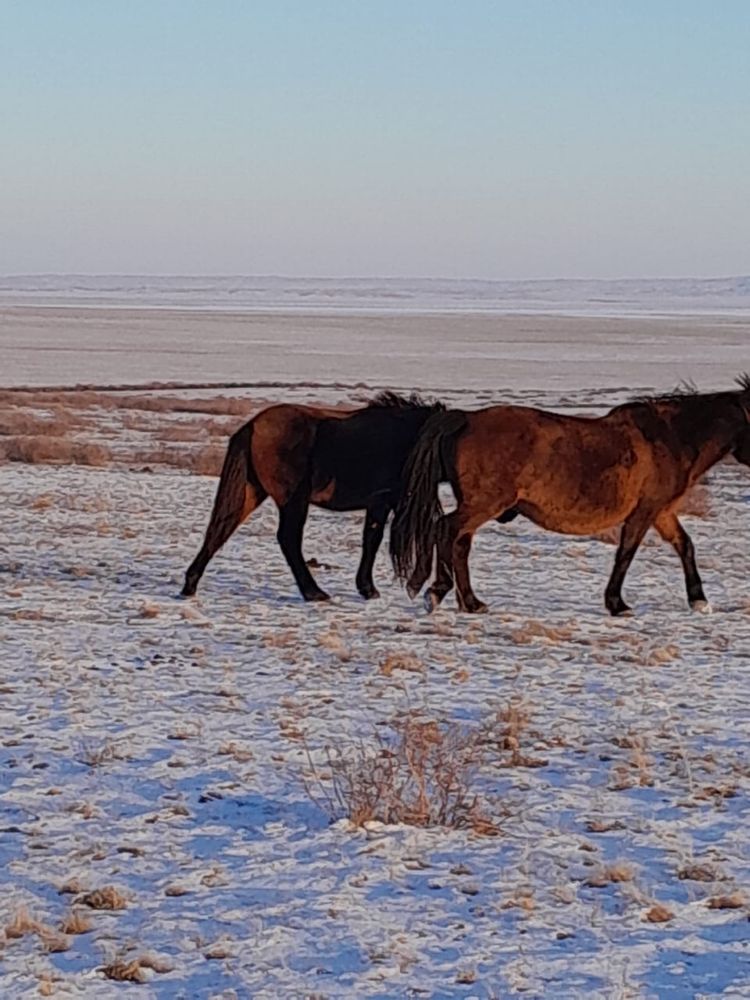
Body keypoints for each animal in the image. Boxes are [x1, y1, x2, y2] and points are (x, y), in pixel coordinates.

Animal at [181, 390, 444, 600]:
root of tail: (253, 426)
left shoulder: (380, 503)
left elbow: (371, 539)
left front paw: (367, 588)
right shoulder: (393, 501)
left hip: (251, 492)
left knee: (220, 530)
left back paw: (190, 585)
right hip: (293, 500)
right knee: (288, 539)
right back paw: (314, 592)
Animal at [390, 378, 750, 616]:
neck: (672, 437)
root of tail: (466, 418)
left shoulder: (661, 512)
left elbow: (685, 545)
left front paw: (699, 600)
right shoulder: (644, 512)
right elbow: (626, 553)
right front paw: (617, 604)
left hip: (480, 505)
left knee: (459, 543)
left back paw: (471, 602)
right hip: (485, 503)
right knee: (446, 530)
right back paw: (437, 592)